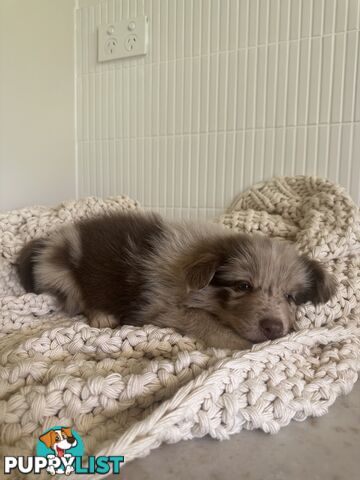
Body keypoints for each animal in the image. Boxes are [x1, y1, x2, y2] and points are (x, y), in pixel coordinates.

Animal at [16, 212, 338, 350]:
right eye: (242, 286)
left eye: (291, 297)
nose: (274, 328)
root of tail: (50, 240)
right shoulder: (165, 308)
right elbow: (206, 323)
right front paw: (240, 344)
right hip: (62, 274)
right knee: (78, 299)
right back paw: (102, 315)